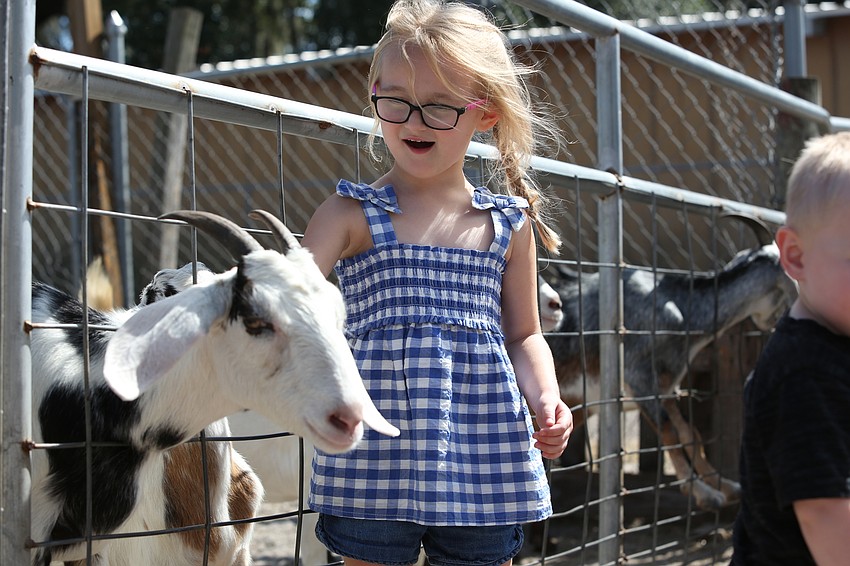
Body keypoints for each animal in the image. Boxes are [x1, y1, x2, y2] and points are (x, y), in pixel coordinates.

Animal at [545, 215, 796, 509]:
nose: (775, 322)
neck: (678, 308)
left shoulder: (666, 385)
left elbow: (690, 432)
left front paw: (724, 485)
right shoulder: (638, 377)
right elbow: (668, 430)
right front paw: (703, 493)